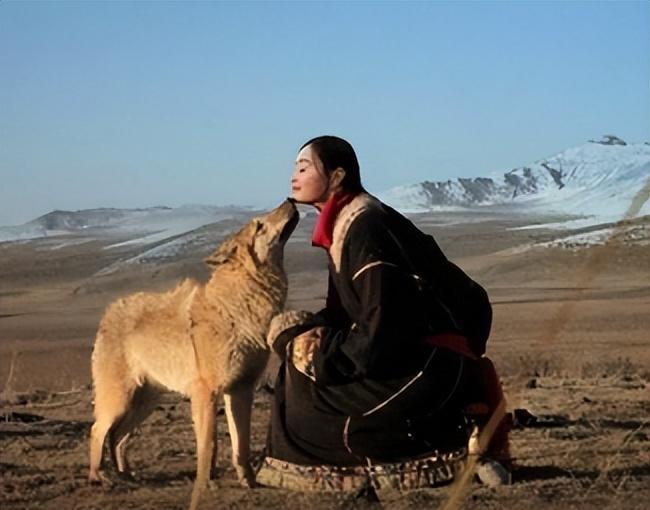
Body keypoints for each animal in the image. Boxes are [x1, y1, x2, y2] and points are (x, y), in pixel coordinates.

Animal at [87, 199, 298, 510]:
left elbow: (241, 444)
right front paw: (206, 484)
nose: (291, 200)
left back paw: (127, 475)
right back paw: (99, 478)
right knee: (97, 430)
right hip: (120, 401)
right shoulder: (205, 393)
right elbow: (209, 445)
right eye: (259, 224)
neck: (240, 306)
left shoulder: (241, 390)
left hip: (145, 403)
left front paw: (248, 482)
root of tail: (108, 312)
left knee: (118, 437)